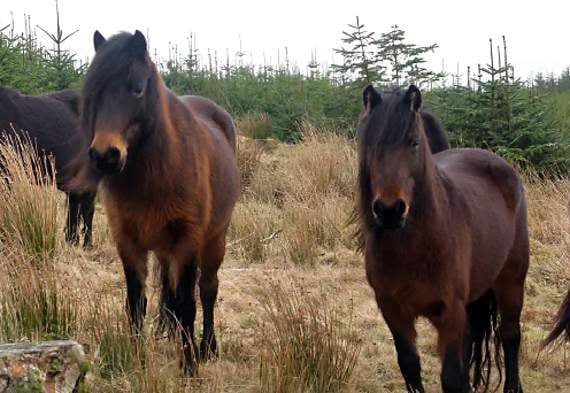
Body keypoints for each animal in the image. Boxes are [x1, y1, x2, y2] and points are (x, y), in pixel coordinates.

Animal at [75, 30, 237, 374]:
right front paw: (137, 363)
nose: (105, 156)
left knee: (208, 290)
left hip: (215, 239)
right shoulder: (128, 243)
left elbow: (189, 305)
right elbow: (136, 304)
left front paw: (189, 368)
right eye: (93, 91)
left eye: (137, 88)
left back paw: (208, 347)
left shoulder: (188, 242)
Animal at [356, 84, 528, 390]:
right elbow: (410, 366)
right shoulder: (393, 311)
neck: (414, 247)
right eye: (369, 143)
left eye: (413, 143)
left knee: (510, 336)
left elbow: (451, 377)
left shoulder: (449, 314)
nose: (389, 210)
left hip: (512, 280)